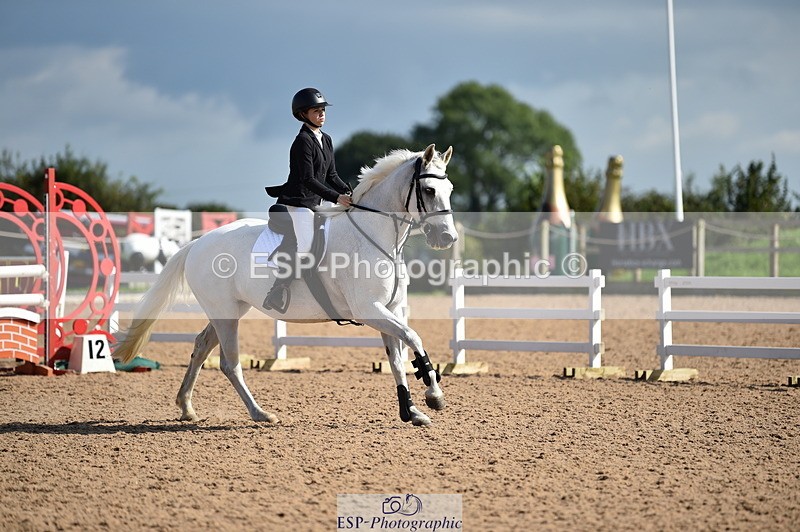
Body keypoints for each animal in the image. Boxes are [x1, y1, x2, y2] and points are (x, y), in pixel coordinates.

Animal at [114, 144, 457, 426]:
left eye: (450, 189)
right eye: (428, 190)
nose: (448, 238)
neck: (375, 235)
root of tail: (197, 243)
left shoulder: (390, 310)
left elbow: (398, 358)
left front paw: (411, 411)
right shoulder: (370, 310)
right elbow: (414, 339)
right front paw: (434, 396)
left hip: (228, 311)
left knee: (201, 347)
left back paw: (186, 407)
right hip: (226, 315)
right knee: (230, 364)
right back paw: (260, 414)